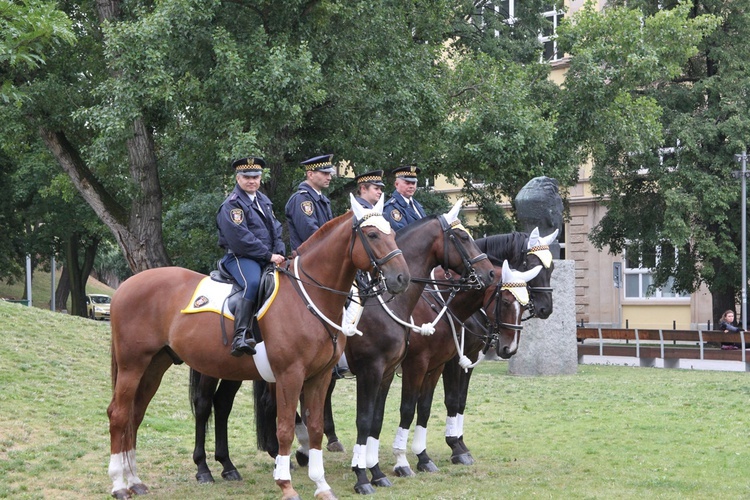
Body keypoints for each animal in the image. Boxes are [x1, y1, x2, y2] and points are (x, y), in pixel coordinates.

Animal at [106, 195, 412, 500]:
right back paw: (122, 483)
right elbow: (285, 428)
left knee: (137, 413)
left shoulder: (320, 376)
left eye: (392, 233)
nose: (402, 278)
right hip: (134, 365)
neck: (309, 297)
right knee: (121, 414)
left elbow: (314, 428)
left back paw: (136, 480)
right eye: (372, 235)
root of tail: (126, 285)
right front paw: (286, 484)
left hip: (157, 365)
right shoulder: (291, 375)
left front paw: (321, 485)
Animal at [390, 258, 544, 476]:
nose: (510, 348)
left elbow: (457, 401)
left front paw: (459, 445)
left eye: (523, 307)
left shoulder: (461, 359)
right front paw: (455, 447)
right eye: (505, 302)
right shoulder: (440, 363)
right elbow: (450, 401)